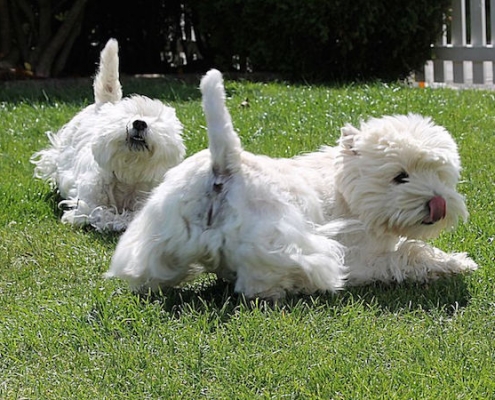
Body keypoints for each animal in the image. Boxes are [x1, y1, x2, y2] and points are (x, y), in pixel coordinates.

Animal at [31, 38, 186, 231]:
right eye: (127, 115)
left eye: (156, 119)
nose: (139, 123)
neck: (127, 177)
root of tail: (104, 105)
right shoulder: (86, 204)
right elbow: (98, 212)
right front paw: (114, 220)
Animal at [106, 69, 478, 300]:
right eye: (401, 176)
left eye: (440, 174)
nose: (438, 204)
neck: (347, 192)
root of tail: (225, 164)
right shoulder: (362, 255)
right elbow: (411, 254)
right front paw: (458, 263)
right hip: (282, 245)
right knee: (262, 284)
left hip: (161, 238)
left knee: (152, 270)